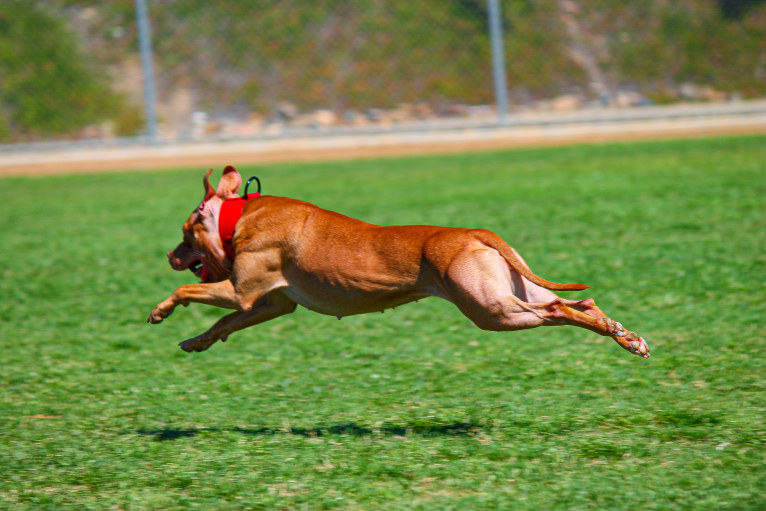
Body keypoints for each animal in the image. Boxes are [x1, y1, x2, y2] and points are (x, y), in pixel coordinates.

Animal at [148, 166, 648, 358]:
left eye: (185, 231)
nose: (171, 255)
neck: (238, 216)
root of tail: (474, 233)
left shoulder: (241, 292)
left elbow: (189, 290)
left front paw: (162, 310)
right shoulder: (269, 304)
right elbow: (223, 324)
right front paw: (197, 341)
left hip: (493, 309)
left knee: (557, 309)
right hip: (509, 290)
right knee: (581, 305)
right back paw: (626, 336)